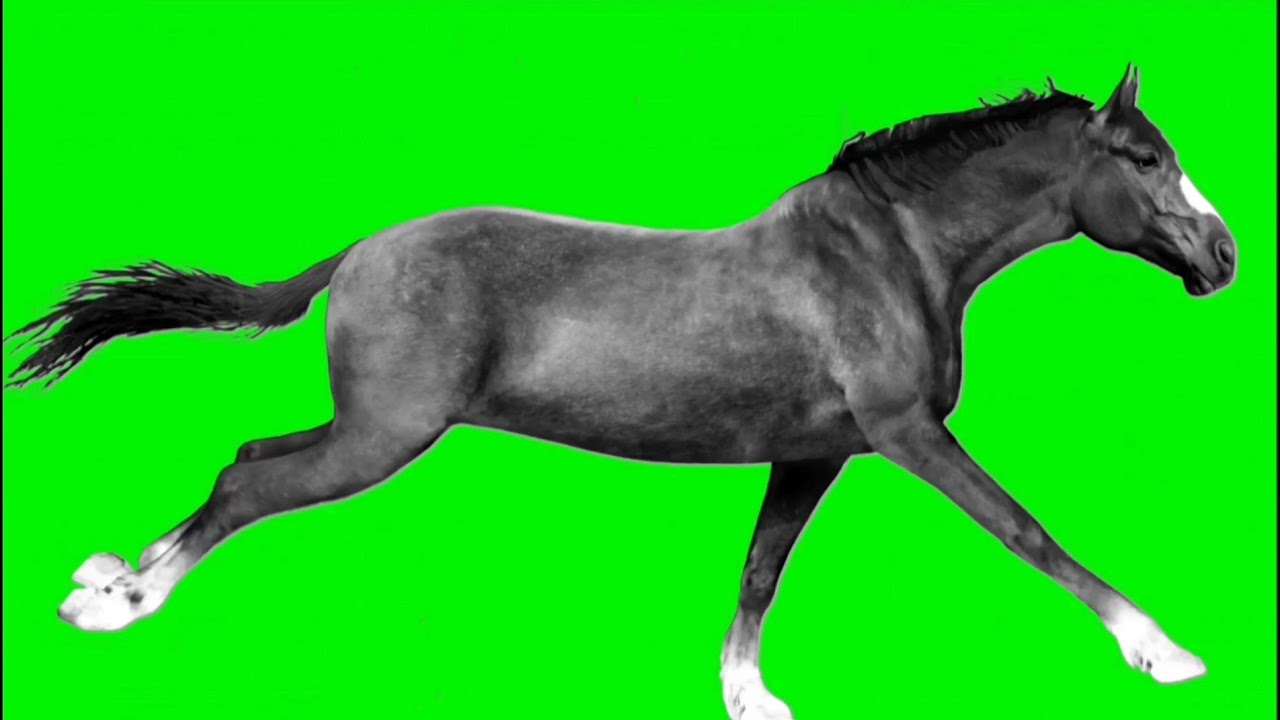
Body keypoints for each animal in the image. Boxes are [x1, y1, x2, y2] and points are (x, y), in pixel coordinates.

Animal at [5, 66, 1235, 720]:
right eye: (1140, 159)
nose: (1222, 258)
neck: (894, 256)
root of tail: (358, 252)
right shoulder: (906, 434)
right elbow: (1027, 531)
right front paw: (1162, 651)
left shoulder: (815, 450)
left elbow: (759, 572)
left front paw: (747, 698)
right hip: (385, 438)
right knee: (246, 485)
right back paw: (116, 600)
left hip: (370, 429)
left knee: (248, 460)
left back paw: (109, 576)